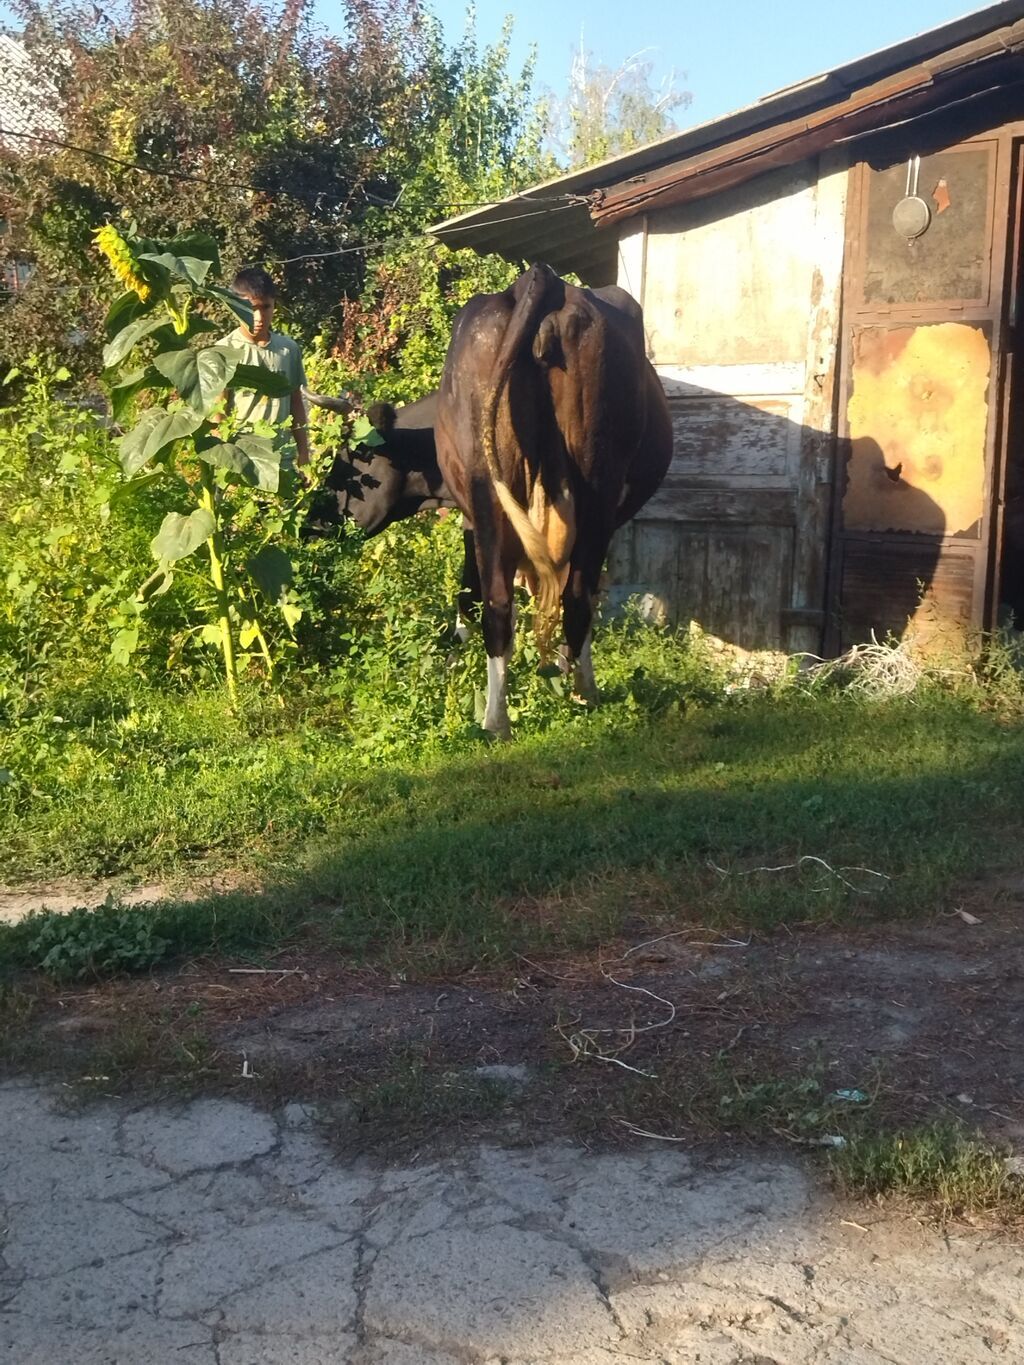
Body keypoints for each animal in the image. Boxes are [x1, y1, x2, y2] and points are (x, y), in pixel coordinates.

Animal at [434, 262, 674, 737]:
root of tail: (541, 278)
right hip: (598, 484)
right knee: (578, 596)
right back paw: (584, 692)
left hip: (487, 483)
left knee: (497, 602)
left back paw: (495, 721)